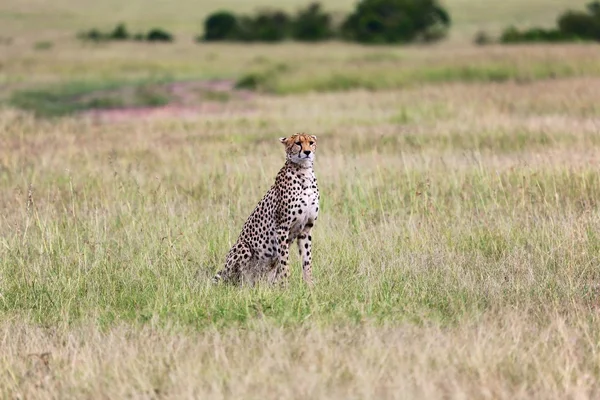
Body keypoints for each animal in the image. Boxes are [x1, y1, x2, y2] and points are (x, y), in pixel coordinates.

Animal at [213, 133, 322, 286]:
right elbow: (285, 261)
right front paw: (286, 285)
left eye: (311, 142)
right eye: (298, 143)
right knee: (233, 278)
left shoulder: (306, 228)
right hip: (243, 248)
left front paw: (309, 285)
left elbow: (307, 260)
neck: (304, 172)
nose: (307, 152)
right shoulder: (282, 228)